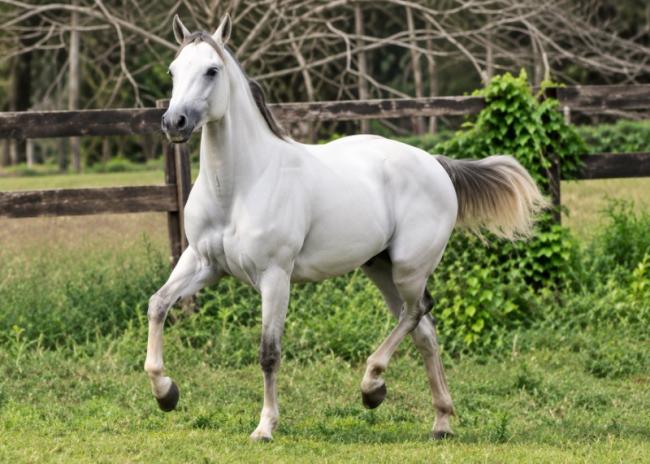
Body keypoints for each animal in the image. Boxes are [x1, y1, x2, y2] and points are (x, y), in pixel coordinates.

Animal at [145, 13, 547, 442]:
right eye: (173, 70)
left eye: (212, 70)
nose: (174, 122)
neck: (240, 186)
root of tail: (436, 164)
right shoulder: (203, 263)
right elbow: (158, 304)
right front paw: (166, 393)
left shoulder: (274, 276)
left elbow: (269, 353)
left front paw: (265, 426)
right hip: (381, 268)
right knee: (423, 329)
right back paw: (439, 421)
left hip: (409, 269)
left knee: (417, 311)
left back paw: (373, 386)